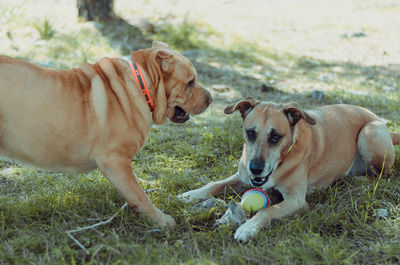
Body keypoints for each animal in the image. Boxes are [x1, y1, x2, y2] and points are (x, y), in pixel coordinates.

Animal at [0, 41, 212, 227]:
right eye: (190, 83)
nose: (211, 98)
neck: (141, 84)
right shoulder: (115, 161)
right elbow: (139, 195)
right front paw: (161, 219)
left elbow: (136, 185)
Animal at [181, 97, 400, 241]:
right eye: (250, 133)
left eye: (275, 137)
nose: (256, 169)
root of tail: (380, 121)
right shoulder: (241, 176)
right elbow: (215, 184)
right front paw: (191, 194)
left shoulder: (296, 200)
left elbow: (267, 210)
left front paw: (248, 228)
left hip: (369, 133)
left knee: (383, 174)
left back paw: (355, 179)